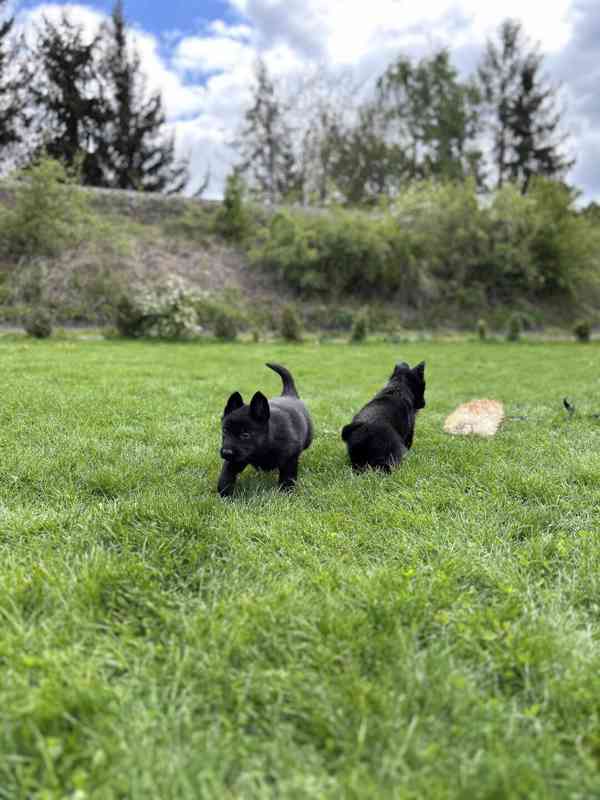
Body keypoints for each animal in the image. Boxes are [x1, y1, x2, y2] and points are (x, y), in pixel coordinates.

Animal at [219, 362, 314, 494]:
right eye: (225, 430)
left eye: (245, 435)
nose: (226, 452)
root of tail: (289, 395)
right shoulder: (236, 460)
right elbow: (227, 473)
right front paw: (225, 492)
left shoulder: (290, 458)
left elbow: (288, 476)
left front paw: (286, 492)